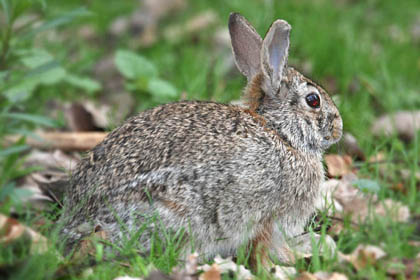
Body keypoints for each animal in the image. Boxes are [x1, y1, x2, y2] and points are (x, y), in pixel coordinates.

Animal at [58, 12, 342, 268]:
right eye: (313, 100)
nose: (338, 127)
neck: (281, 132)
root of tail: (77, 225)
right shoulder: (267, 219)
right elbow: (263, 250)